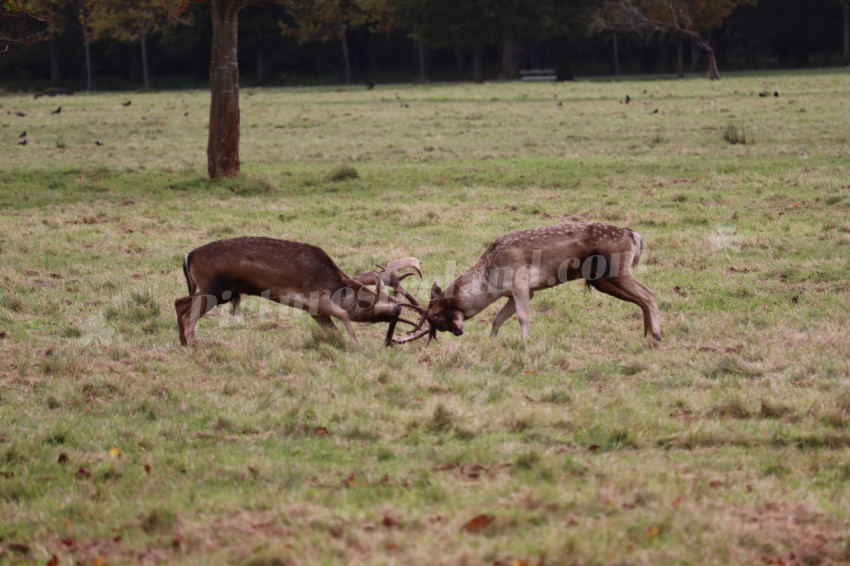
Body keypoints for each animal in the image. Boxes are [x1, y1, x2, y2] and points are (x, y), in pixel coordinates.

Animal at [176, 237, 420, 348]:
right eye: (385, 311)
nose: (398, 309)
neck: (335, 284)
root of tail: (188, 256)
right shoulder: (314, 296)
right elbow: (344, 315)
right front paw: (356, 342)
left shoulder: (313, 310)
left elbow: (333, 329)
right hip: (212, 289)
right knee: (189, 316)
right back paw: (194, 346)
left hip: (208, 291)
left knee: (179, 302)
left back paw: (183, 344)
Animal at [394, 222, 660, 346]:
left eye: (437, 313)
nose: (458, 331)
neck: (490, 280)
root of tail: (633, 235)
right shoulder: (518, 292)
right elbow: (498, 319)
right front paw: (492, 342)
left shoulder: (520, 282)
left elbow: (522, 317)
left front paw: (524, 345)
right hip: (601, 280)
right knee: (641, 299)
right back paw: (647, 336)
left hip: (617, 270)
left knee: (649, 295)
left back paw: (656, 335)